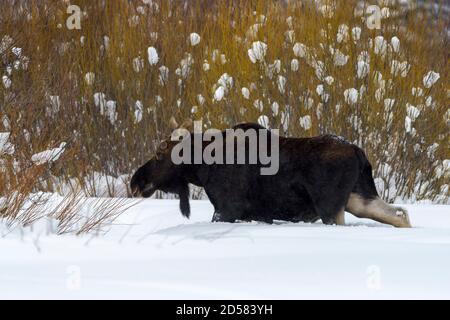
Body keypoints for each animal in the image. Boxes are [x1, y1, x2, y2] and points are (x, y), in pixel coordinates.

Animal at [129, 119, 412, 229]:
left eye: (159, 155)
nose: (135, 181)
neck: (200, 167)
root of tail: (359, 152)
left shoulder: (227, 208)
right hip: (358, 198)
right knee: (398, 213)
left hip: (330, 207)